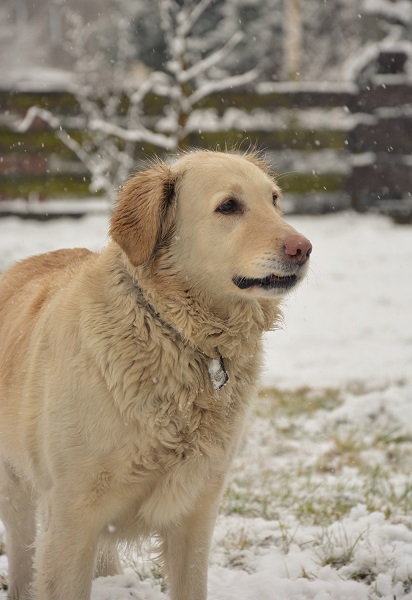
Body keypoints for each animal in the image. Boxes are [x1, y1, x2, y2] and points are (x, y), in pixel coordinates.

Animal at [0, 151, 310, 600]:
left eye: (274, 200)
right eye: (229, 206)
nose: (303, 248)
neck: (176, 335)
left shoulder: (196, 513)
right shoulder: (71, 516)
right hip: (16, 493)